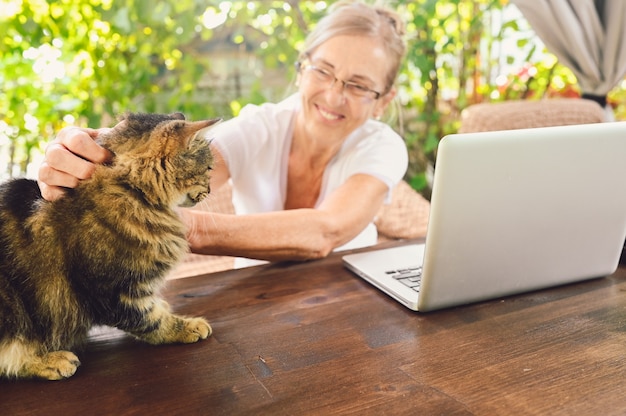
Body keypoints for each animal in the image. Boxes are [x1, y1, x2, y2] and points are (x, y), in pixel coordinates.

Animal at [0, 111, 217, 380]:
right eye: (208, 168)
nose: (210, 189)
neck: (130, 191)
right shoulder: (112, 291)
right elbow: (152, 321)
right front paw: (187, 327)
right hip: (12, 308)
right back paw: (52, 361)